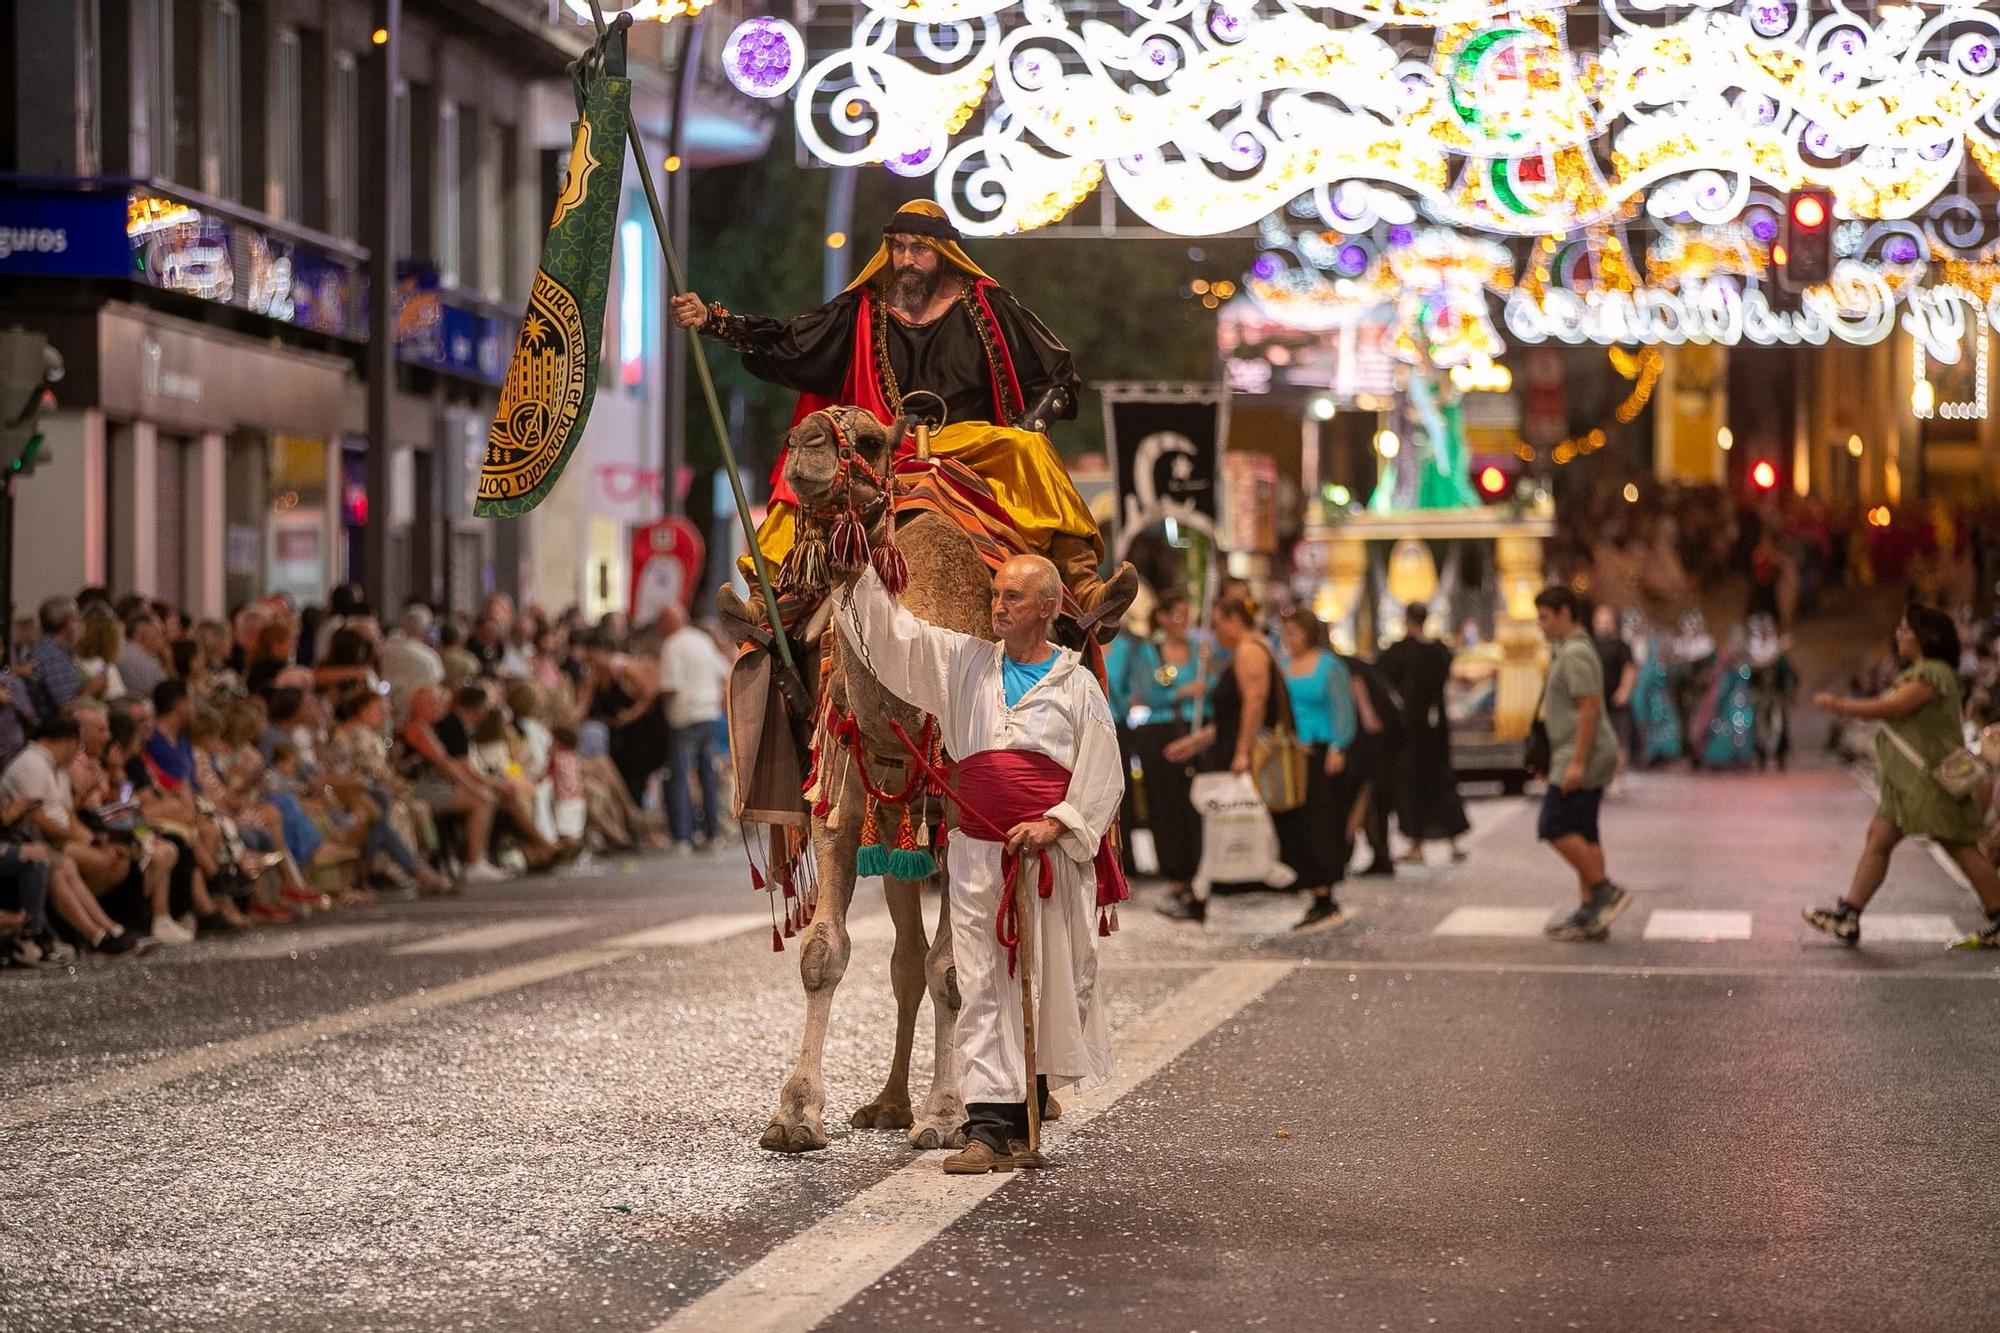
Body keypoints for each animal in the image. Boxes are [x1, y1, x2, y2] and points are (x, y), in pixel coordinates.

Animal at [756, 404, 992, 1152]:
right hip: (894, 832)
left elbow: (956, 969)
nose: (803, 449)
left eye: (864, 440)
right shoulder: (845, 792)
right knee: (905, 959)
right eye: (798, 427)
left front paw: (946, 1116)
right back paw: (889, 1103)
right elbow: (823, 951)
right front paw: (795, 1114)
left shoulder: (963, 814)